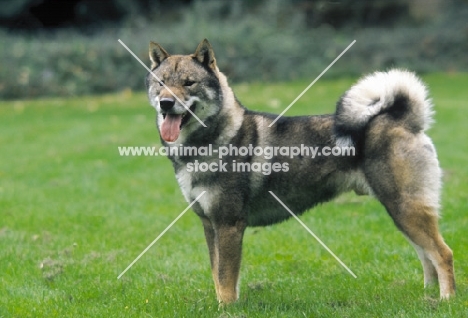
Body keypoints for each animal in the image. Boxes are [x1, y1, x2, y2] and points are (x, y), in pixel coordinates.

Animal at [144, 39, 456, 304]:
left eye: (189, 83)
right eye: (161, 83)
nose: (165, 102)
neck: (209, 141)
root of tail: (405, 121)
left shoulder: (229, 224)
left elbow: (226, 278)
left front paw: (226, 309)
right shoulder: (210, 225)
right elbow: (218, 275)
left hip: (405, 209)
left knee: (442, 254)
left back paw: (446, 299)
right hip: (402, 214)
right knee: (426, 256)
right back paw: (427, 296)